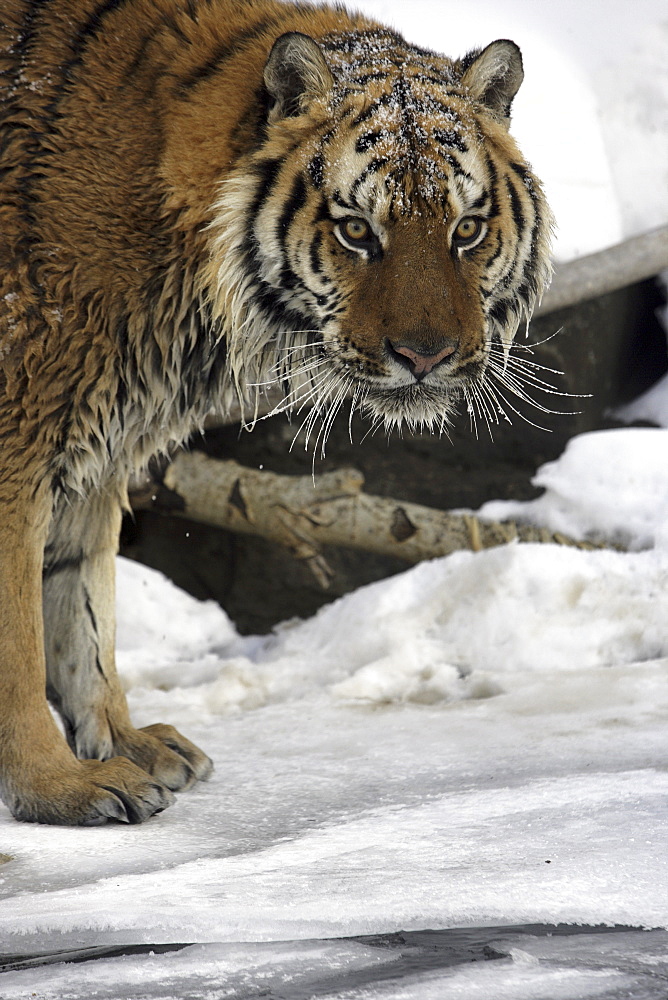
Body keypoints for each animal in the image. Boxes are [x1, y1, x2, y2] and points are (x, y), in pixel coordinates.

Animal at [0, 0, 552, 824]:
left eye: (466, 230)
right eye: (357, 230)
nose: (425, 356)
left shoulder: (94, 443)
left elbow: (80, 610)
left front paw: (122, 745)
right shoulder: (21, 443)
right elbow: (22, 639)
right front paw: (55, 786)